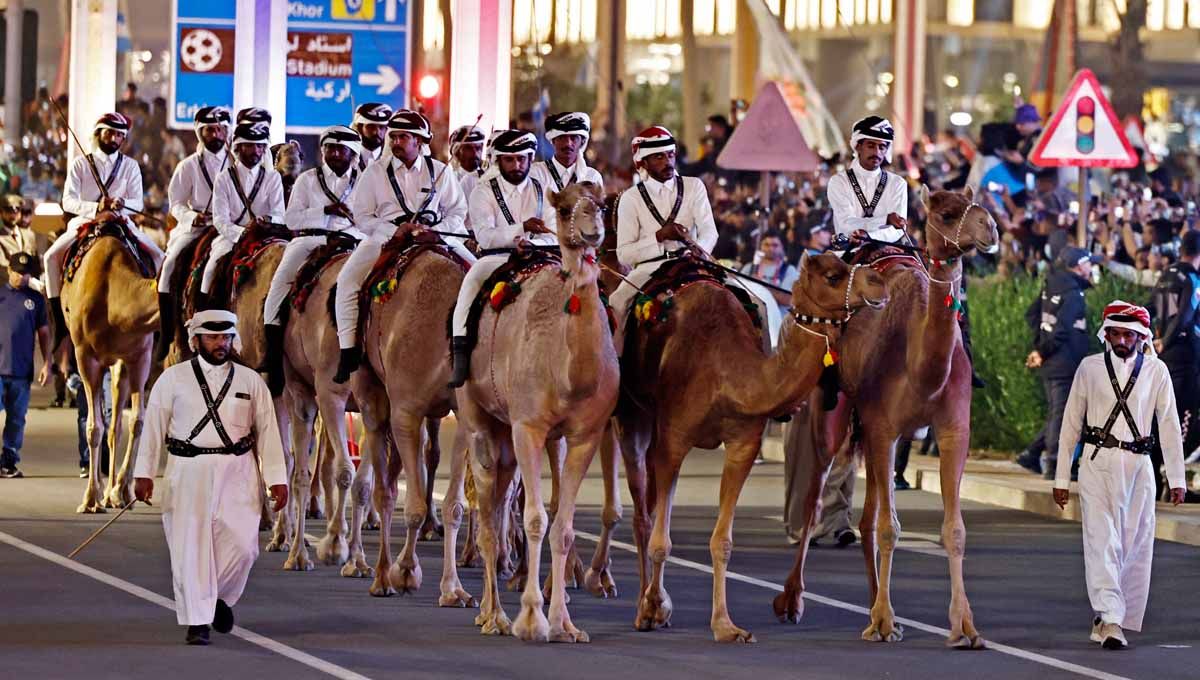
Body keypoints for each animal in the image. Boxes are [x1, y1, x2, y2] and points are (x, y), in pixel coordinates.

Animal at [61, 231, 158, 513]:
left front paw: (122, 491)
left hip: (120, 363)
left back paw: (112, 494)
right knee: (105, 425)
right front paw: (90, 498)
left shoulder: (139, 355)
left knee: (116, 426)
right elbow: (94, 428)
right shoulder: (85, 356)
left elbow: (136, 421)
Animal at [451, 182, 614, 642]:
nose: (592, 231)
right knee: (488, 508)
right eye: (564, 209)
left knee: (498, 501)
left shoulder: (584, 435)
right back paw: (494, 616)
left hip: (508, 436)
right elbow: (536, 519)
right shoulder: (529, 427)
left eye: (603, 204)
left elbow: (563, 526)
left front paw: (564, 624)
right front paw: (531, 619)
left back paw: (490, 611)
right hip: (478, 419)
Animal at [619, 253, 892, 642]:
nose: (879, 284)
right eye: (832, 275)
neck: (725, 374)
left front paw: (726, 626)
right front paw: (652, 608)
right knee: (640, 514)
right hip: (632, 417)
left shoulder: (743, 444)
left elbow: (722, 541)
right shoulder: (673, 439)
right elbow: (661, 540)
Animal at [772, 184, 998, 647]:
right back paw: (793, 600)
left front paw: (964, 627)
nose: (990, 228)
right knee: (816, 495)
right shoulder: (883, 428)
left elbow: (954, 530)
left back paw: (876, 606)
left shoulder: (953, 430)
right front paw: (885, 619)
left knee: (867, 517)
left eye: (980, 205)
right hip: (836, 412)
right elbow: (890, 527)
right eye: (946, 214)